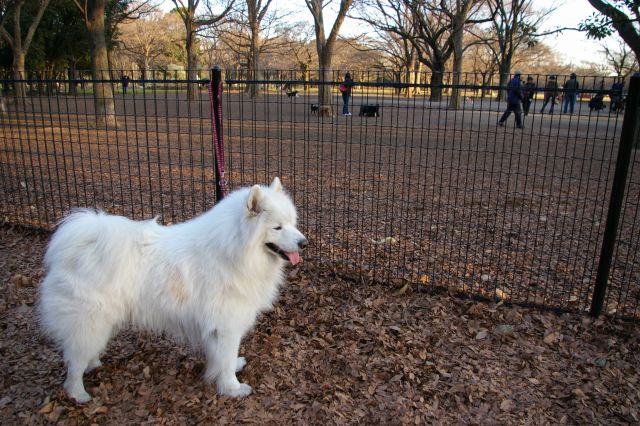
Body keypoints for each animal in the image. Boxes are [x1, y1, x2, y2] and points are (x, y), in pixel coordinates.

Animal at [38, 177, 306, 402]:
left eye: (292, 223)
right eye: (277, 228)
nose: (304, 242)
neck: (234, 251)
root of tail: (83, 241)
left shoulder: (214, 326)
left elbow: (221, 357)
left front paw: (223, 371)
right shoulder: (227, 325)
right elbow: (227, 359)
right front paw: (233, 388)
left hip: (103, 322)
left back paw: (93, 363)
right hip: (89, 321)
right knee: (74, 363)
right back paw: (78, 394)